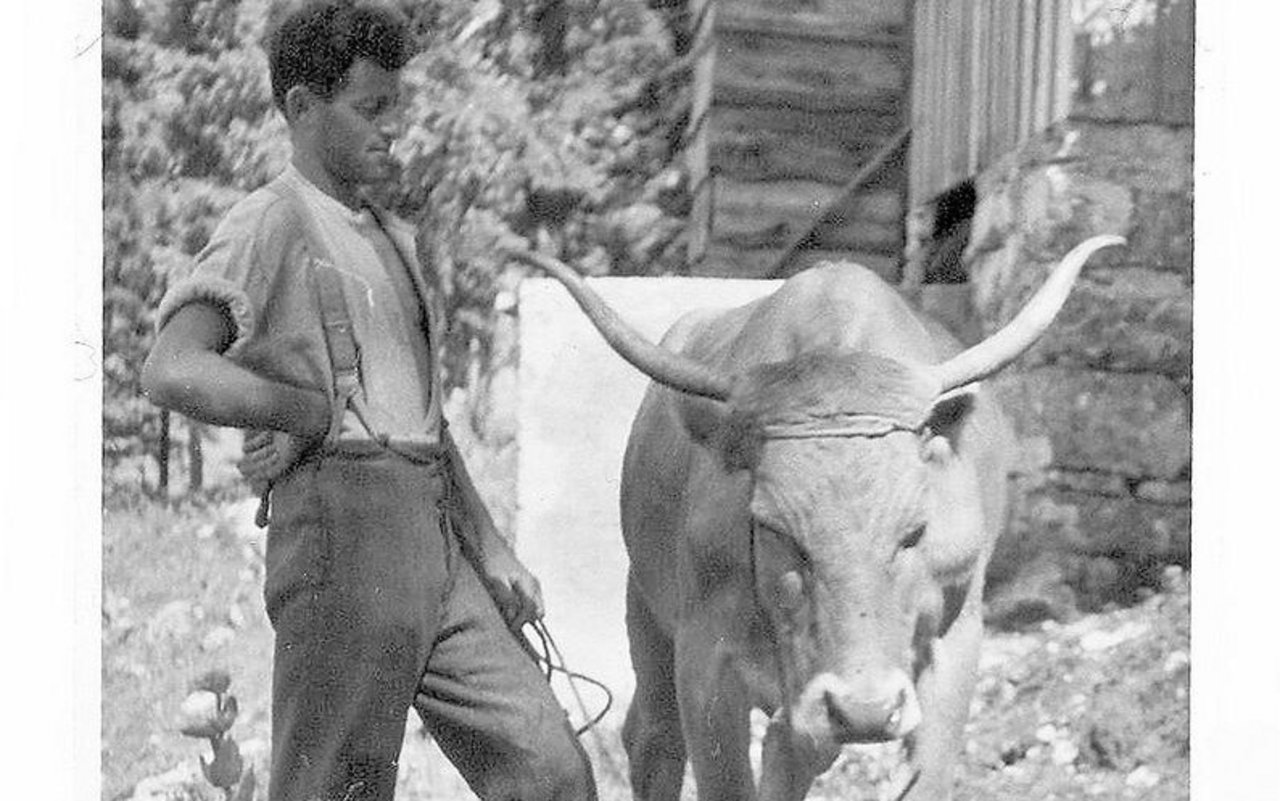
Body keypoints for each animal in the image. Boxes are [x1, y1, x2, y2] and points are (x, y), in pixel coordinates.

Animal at [509, 234, 1121, 793]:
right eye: (774, 529)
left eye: (913, 532)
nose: (864, 710)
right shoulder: (704, 656)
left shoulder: (956, 641)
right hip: (647, 610)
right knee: (652, 736)